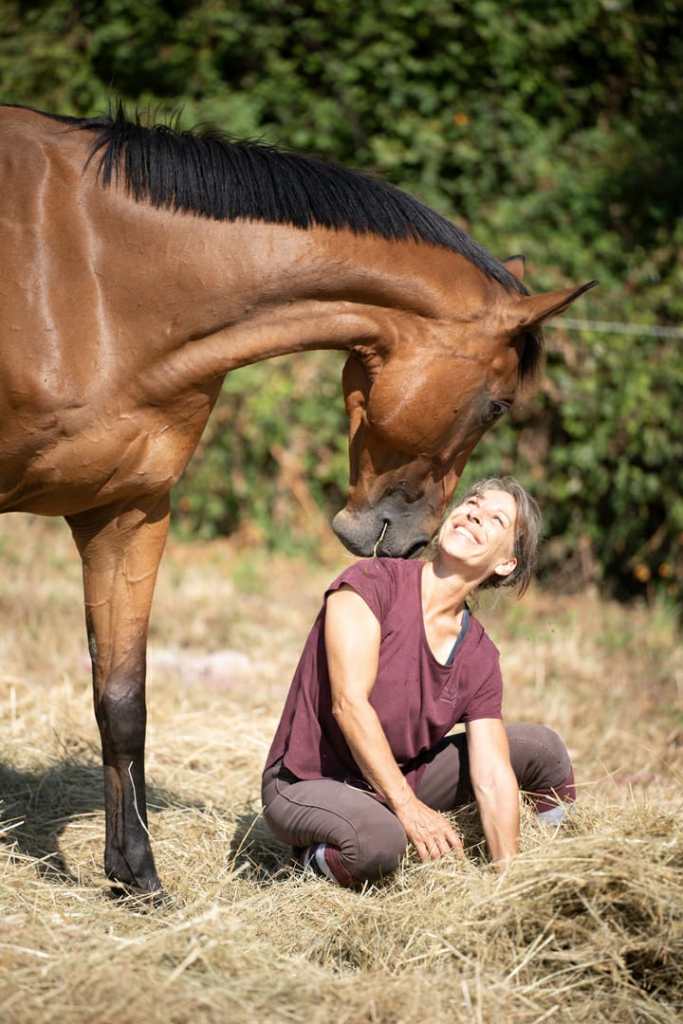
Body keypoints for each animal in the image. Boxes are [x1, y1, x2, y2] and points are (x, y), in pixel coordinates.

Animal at [0, 103, 595, 893]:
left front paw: (138, 878)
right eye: (497, 404)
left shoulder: (126, 514)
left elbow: (122, 700)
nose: (410, 540)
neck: (94, 283)